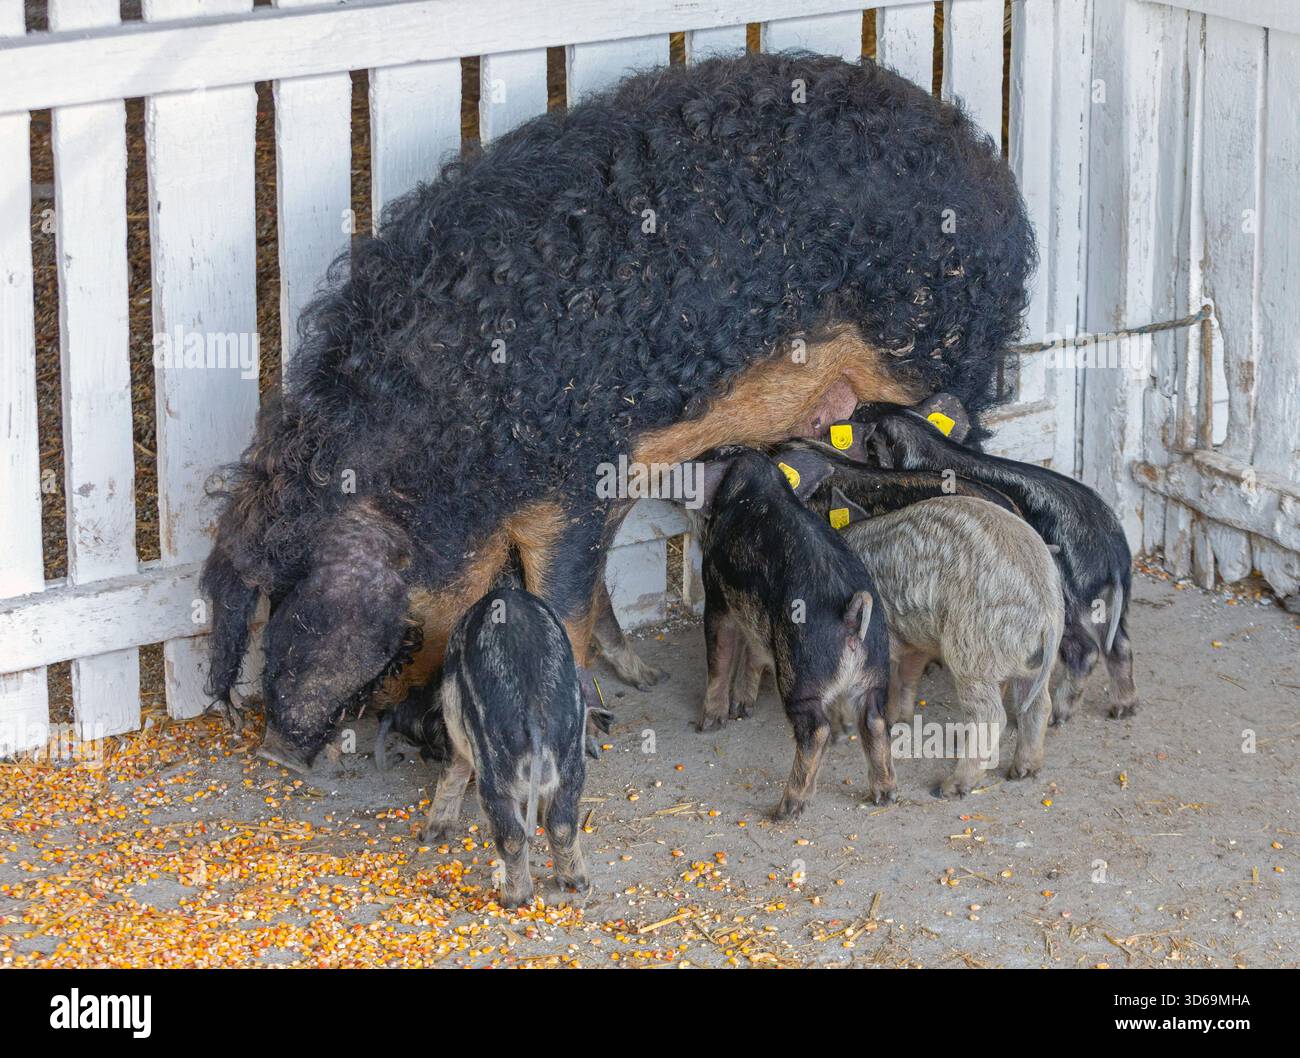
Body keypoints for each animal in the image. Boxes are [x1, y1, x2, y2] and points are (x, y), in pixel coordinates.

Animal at [420, 588, 597, 907]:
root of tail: (535, 715)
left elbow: (453, 772)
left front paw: (431, 835)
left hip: (495, 771)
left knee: (511, 835)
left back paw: (512, 899)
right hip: (571, 757)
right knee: (562, 821)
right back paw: (576, 884)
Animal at [693, 450, 894, 817]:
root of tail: (850, 615)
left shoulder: (716, 593)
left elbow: (719, 657)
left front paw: (710, 723)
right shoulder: (758, 620)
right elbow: (753, 654)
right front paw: (742, 708)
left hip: (801, 676)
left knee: (816, 730)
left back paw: (786, 809)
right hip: (876, 670)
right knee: (874, 720)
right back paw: (884, 795)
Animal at [834, 491, 1064, 797]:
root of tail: (1046, 613)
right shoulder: (915, 642)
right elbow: (906, 677)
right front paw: (898, 719)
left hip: (970, 651)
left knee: (991, 715)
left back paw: (949, 788)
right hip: (1030, 665)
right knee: (1039, 704)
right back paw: (1023, 772)